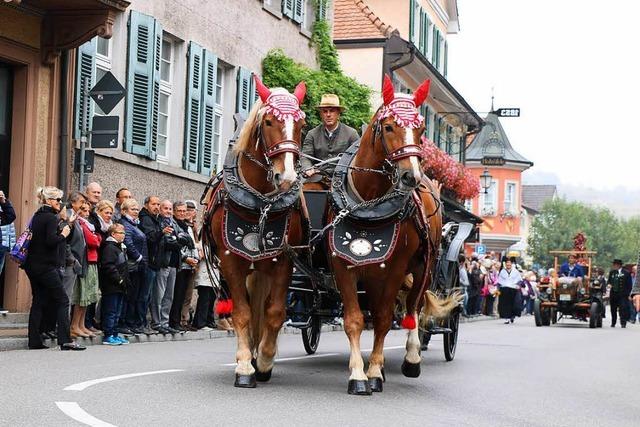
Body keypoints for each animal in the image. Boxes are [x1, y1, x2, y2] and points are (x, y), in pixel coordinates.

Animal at [204, 76, 306, 388]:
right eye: (270, 121)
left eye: (302, 123)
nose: (287, 177)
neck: (260, 204)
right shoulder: (230, 259)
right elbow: (242, 312)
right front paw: (244, 366)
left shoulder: (283, 260)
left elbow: (274, 313)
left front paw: (264, 361)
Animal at [328, 75, 458, 396]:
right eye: (388, 127)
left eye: (421, 129)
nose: (410, 176)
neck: (367, 203)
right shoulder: (343, 264)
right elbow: (355, 320)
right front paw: (358, 374)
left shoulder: (397, 267)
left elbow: (387, 318)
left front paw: (373, 371)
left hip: (424, 266)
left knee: (413, 308)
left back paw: (411, 358)